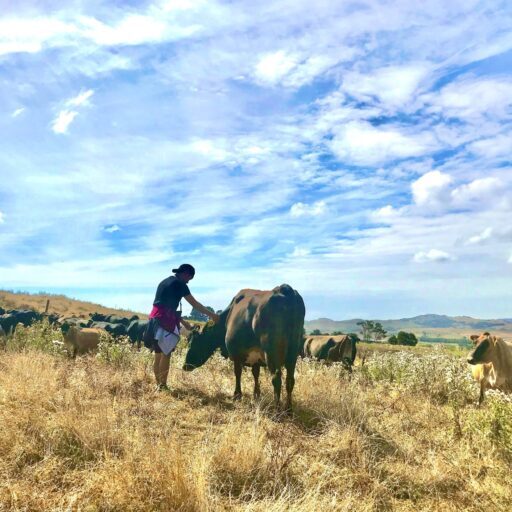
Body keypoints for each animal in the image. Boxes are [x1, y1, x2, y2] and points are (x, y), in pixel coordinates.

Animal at [183, 284, 304, 412]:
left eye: (193, 342)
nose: (185, 366)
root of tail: (285, 289)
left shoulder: (236, 354)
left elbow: (237, 373)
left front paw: (237, 395)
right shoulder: (255, 357)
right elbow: (255, 373)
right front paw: (256, 394)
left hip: (272, 352)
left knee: (276, 378)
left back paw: (276, 409)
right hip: (293, 352)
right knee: (290, 380)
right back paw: (289, 409)